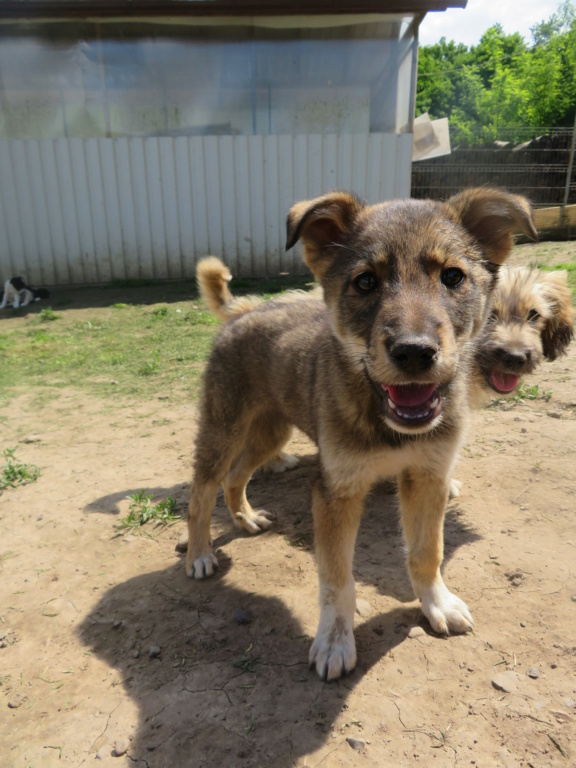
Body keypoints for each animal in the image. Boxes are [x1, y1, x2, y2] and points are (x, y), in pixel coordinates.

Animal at [186, 190, 536, 680]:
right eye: (366, 282)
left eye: (453, 276)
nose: (415, 352)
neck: (387, 422)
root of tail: (247, 309)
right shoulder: (336, 491)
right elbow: (337, 579)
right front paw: (334, 641)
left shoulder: (429, 477)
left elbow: (427, 552)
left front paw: (437, 604)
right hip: (223, 429)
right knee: (201, 492)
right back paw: (199, 554)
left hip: (270, 432)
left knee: (237, 477)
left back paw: (246, 518)